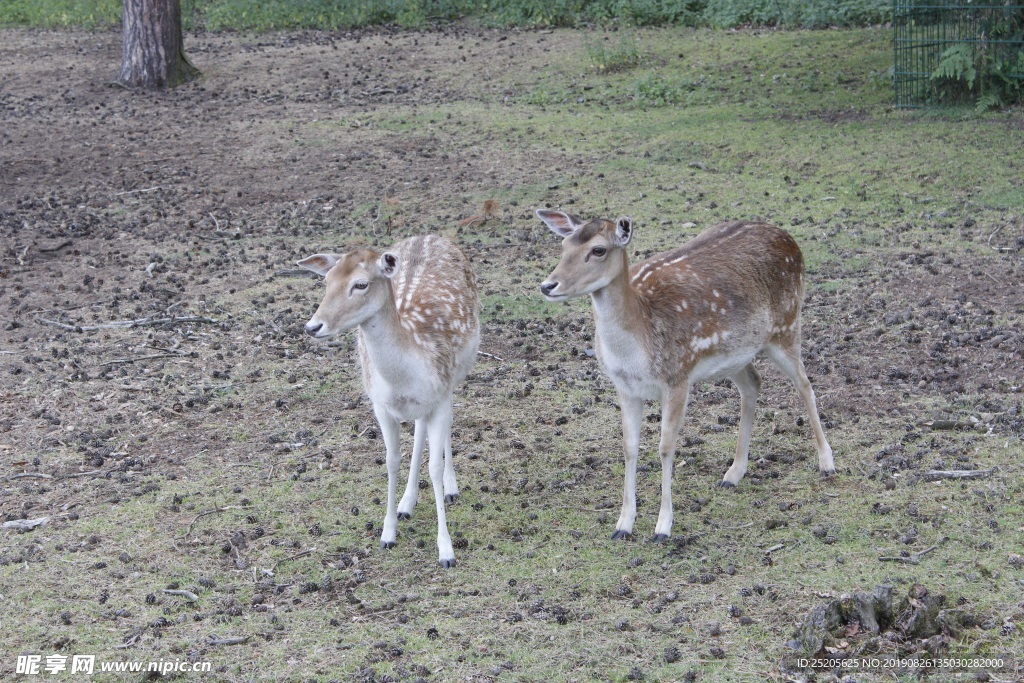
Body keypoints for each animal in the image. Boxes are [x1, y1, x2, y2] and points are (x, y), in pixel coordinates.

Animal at [299, 235, 481, 565]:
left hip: (461, 370)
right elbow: (391, 460)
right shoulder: (380, 405)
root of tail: (431, 236)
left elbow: (434, 466)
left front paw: (446, 550)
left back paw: (451, 488)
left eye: (360, 284)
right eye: (327, 281)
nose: (313, 327)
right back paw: (407, 503)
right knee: (419, 428)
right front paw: (388, 534)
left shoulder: (440, 393)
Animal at [536, 210, 831, 540]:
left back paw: (826, 463)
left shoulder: (678, 377)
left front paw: (663, 527)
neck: (639, 344)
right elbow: (629, 447)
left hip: (787, 324)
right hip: (737, 354)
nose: (548, 285)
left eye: (598, 250)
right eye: (564, 245)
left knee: (805, 383)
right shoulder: (624, 387)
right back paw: (733, 473)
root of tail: (788, 237)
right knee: (753, 382)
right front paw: (622, 525)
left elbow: (666, 448)